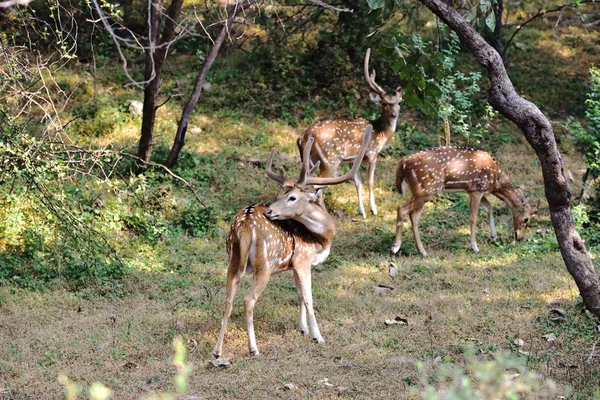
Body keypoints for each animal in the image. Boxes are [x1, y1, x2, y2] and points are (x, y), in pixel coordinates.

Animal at [211, 126, 370, 358]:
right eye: (281, 195)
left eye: (291, 197)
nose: (269, 211)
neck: (322, 240)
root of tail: (245, 225)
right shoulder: (303, 259)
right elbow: (309, 297)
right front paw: (318, 336)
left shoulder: (295, 264)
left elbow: (299, 294)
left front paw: (302, 329)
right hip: (264, 265)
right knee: (248, 300)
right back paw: (254, 349)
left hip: (232, 260)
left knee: (227, 300)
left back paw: (217, 351)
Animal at [298, 49, 406, 220]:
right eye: (384, 103)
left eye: (399, 102)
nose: (394, 113)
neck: (381, 133)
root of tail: (304, 136)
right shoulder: (372, 153)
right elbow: (370, 182)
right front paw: (374, 210)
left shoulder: (352, 159)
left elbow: (358, 183)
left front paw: (362, 212)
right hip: (330, 160)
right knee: (316, 185)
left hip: (310, 160)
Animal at [390, 147, 540, 256]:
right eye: (526, 219)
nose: (520, 238)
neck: (495, 181)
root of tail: (403, 163)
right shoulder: (476, 190)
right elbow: (473, 218)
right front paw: (475, 247)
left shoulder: (477, 190)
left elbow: (490, 207)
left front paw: (494, 236)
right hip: (426, 190)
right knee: (401, 208)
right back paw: (395, 247)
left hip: (420, 192)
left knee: (413, 215)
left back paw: (422, 251)